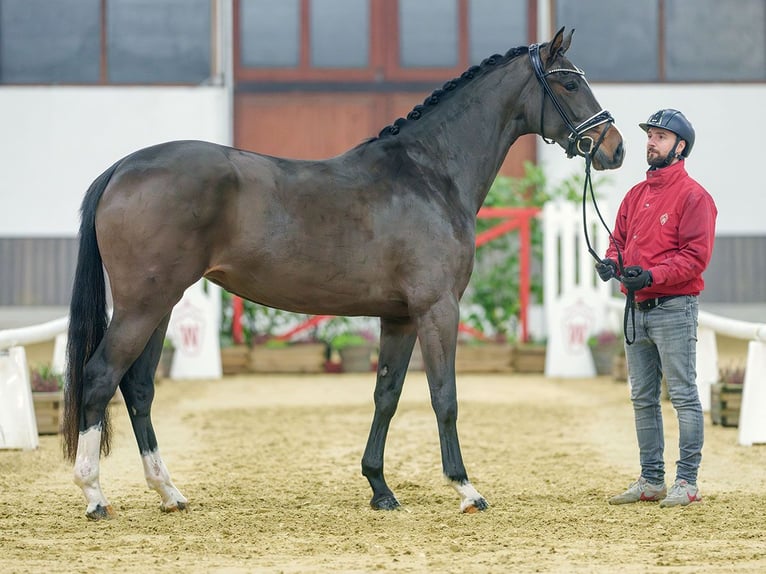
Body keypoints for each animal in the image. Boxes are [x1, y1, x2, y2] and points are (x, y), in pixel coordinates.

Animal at [61, 28, 624, 520]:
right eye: (569, 83)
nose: (614, 147)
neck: (430, 174)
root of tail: (123, 168)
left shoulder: (399, 317)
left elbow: (386, 396)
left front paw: (380, 488)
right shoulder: (437, 309)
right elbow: (444, 396)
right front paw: (465, 488)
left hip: (160, 305)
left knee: (137, 389)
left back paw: (169, 493)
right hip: (142, 306)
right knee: (99, 377)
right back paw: (94, 495)